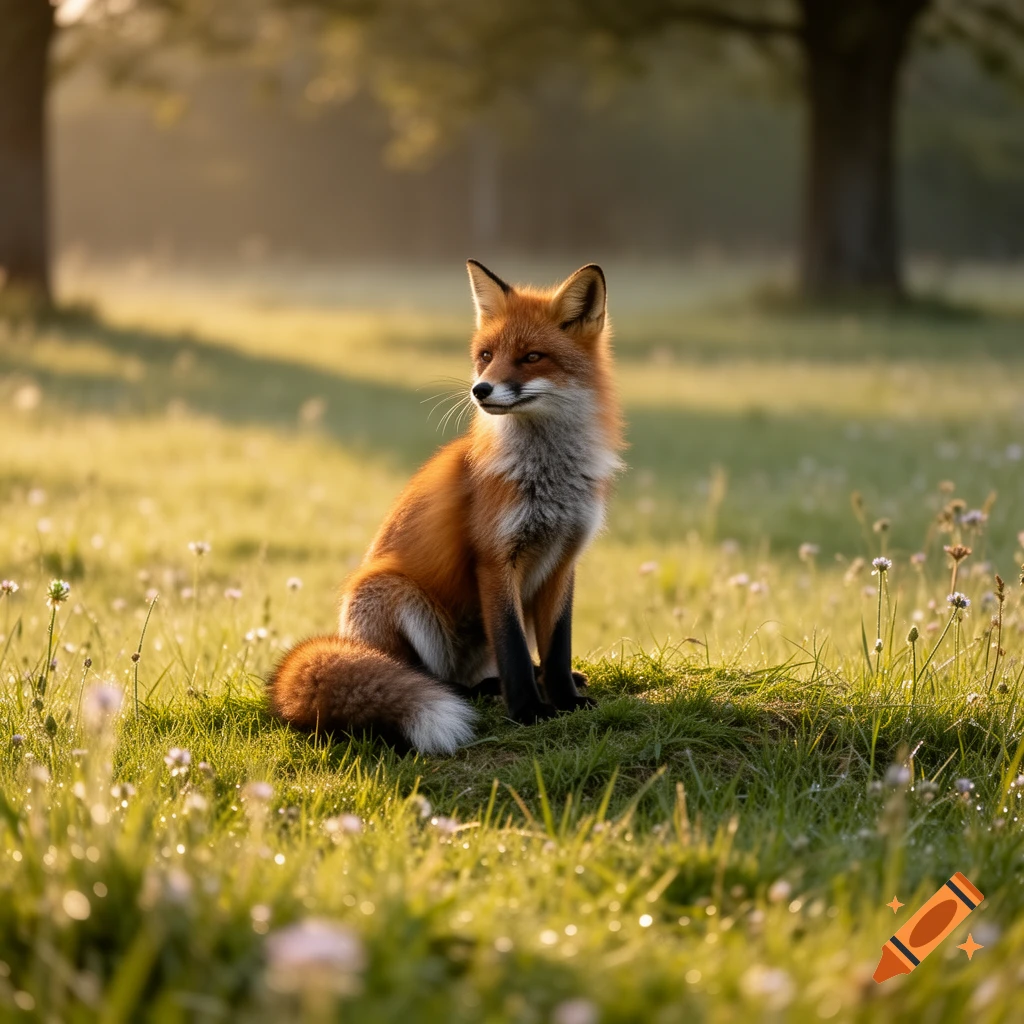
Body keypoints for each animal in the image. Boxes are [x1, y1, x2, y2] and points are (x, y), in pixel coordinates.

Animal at [268, 261, 623, 754]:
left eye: (532, 357)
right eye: (486, 355)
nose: (480, 390)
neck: (549, 478)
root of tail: (345, 638)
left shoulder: (563, 559)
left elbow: (555, 649)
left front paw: (565, 699)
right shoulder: (494, 559)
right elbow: (514, 649)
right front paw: (528, 711)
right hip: (388, 593)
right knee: (421, 675)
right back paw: (456, 691)